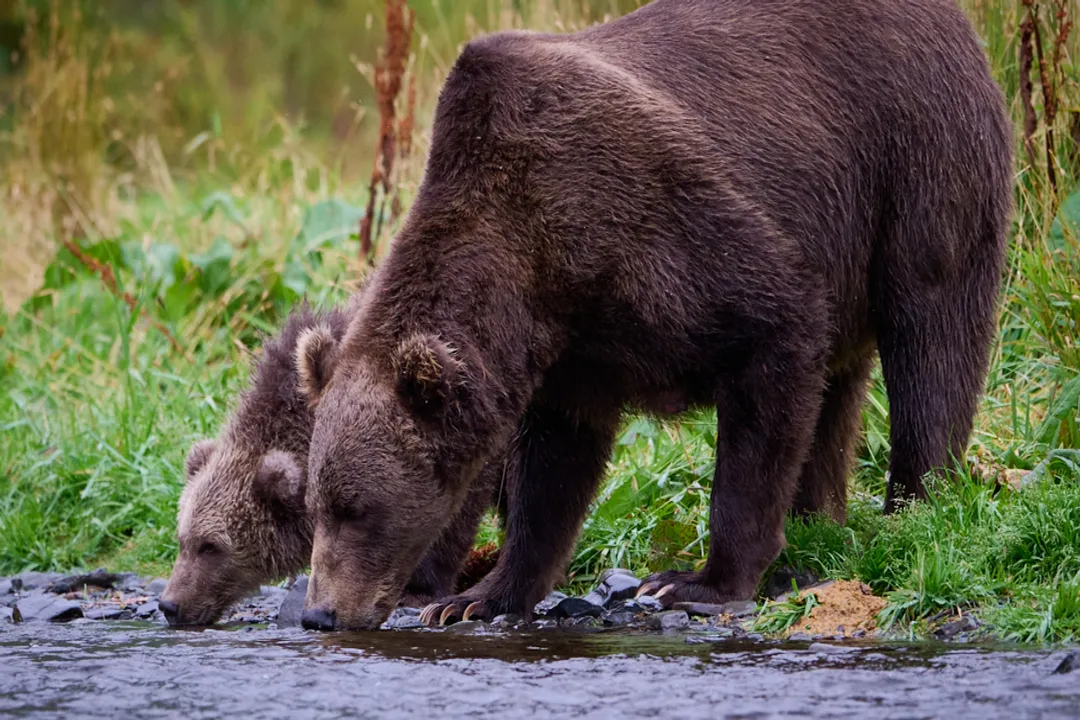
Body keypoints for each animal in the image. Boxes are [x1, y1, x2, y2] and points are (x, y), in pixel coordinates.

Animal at [295, 0, 1013, 631]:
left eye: (356, 508)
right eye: (315, 505)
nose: (319, 612)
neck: (533, 267)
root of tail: (960, 23)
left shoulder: (654, 227)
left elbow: (771, 348)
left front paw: (697, 581)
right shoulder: (571, 351)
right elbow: (553, 471)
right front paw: (476, 597)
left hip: (914, 165)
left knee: (930, 339)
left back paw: (915, 506)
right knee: (838, 394)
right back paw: (817, 527)